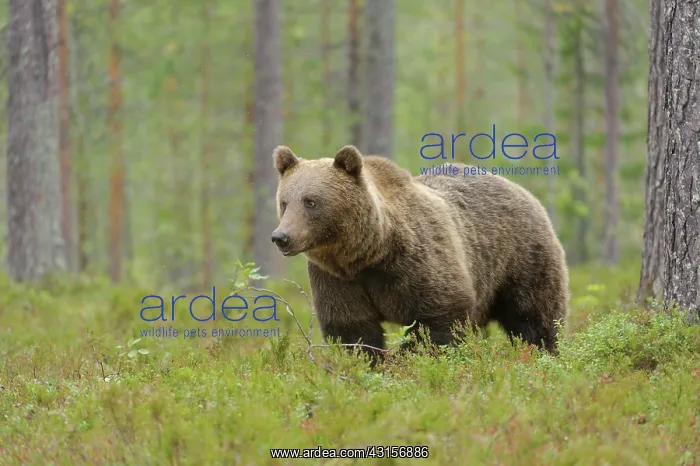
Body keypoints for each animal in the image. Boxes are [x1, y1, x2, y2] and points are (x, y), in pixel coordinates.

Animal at [271, 144, 569, 364]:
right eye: (284, 202)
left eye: (311, 201)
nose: (281, 237)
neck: (369, 253)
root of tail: (520, 189)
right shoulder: (338, 279)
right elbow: (353, 329)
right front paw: (372, 361)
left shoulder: (416, 262)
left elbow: (438, 320)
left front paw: (406, 357)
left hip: (520, 258)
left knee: (535, 316)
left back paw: (544, 353)